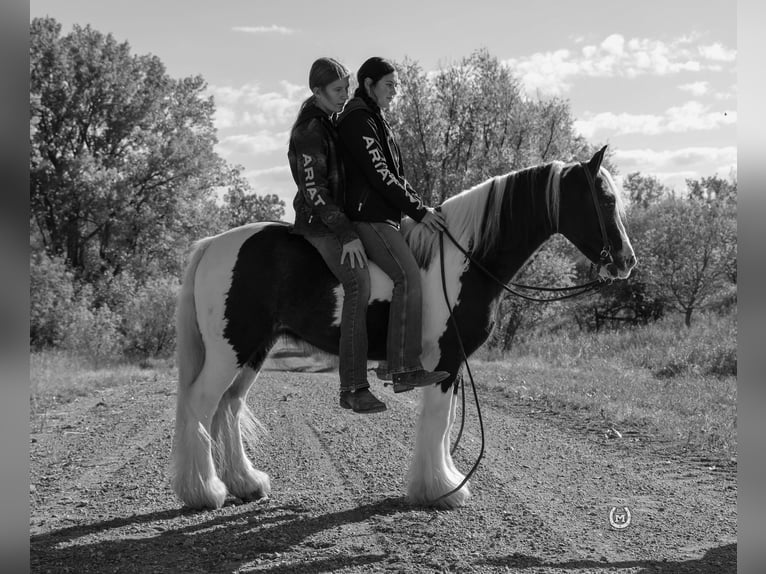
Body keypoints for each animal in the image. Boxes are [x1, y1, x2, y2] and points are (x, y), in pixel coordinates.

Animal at [171, 146, 640, 510]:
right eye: (605, 199)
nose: (627, 261)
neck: (463, 259)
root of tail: (213, 245)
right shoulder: (442, 360)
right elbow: (437, 420)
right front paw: (440, 490)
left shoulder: (450, 363)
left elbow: (446, 421)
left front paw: (444, 480)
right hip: (230, 350)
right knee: (201, 405)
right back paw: (205, 492)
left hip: (254, 349)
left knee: (228, 408)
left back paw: (246, 483)